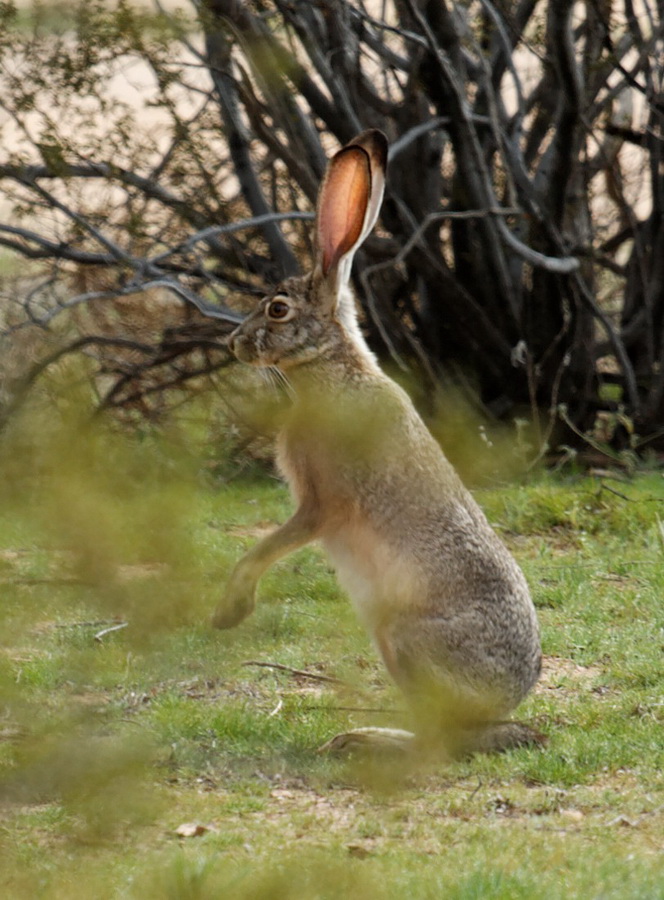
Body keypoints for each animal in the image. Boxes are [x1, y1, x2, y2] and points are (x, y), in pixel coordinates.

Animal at [213, 129, 543, 758]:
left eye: (277, 309)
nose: (234, 344)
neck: (334, 370)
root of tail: (510, 698)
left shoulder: (321, 501)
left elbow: (274, 542)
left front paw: (232, 605)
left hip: (404, 639)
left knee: (442, 740)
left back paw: (364, 740)